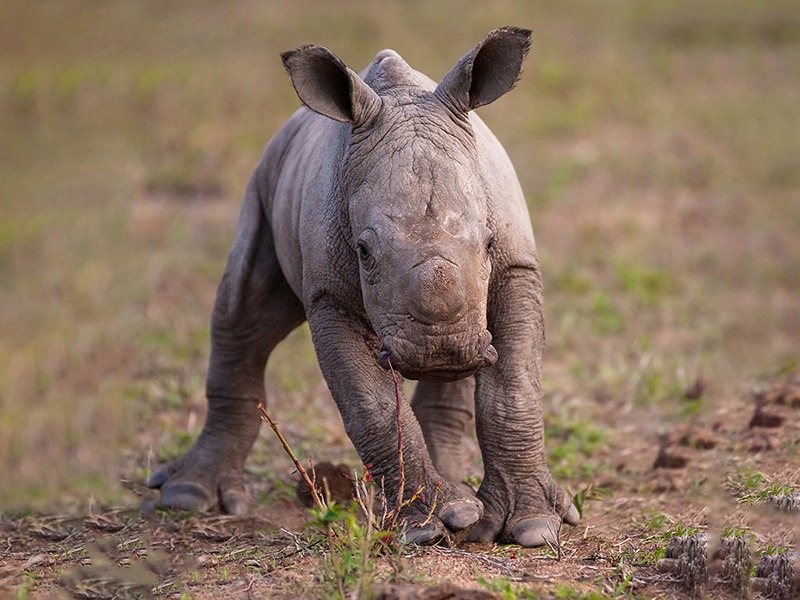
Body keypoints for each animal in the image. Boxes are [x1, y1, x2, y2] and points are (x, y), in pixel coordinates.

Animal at [148, 26, 579, 547]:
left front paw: (532, 527)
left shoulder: (516, 267)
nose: (442, 351)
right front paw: (428, 527)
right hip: (266, 174)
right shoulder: (329, 295)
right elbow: (369, 404)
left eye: (490, 241)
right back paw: (186, 497)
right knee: (244, 314)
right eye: (363, 251)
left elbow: (515, 387)